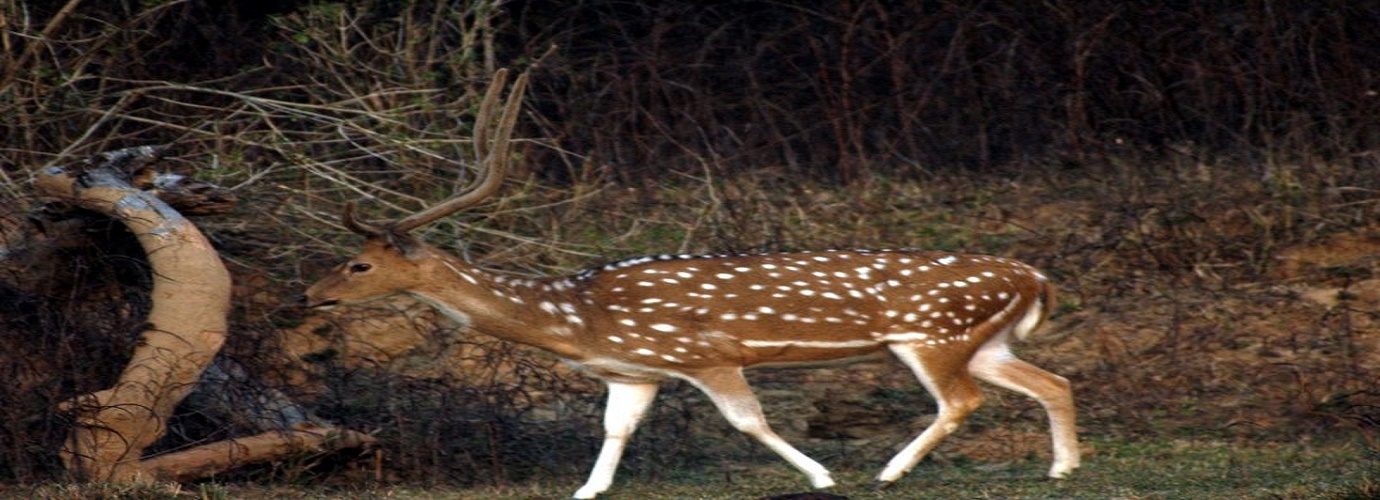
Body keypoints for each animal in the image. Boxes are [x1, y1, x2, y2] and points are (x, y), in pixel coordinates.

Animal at [302, 68, 1076, 497]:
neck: (575, 318)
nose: (309, 295)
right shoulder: (635, 370)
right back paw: (1062, 470)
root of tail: (1036, 275)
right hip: (982, 339)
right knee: (1052, 381)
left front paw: (822, 477)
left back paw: (888, 473)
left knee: (963, 400)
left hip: (930, 334)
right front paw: (585, 491)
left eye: (360, 263)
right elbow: (614, 431)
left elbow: (747, 420)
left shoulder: (705, 355)